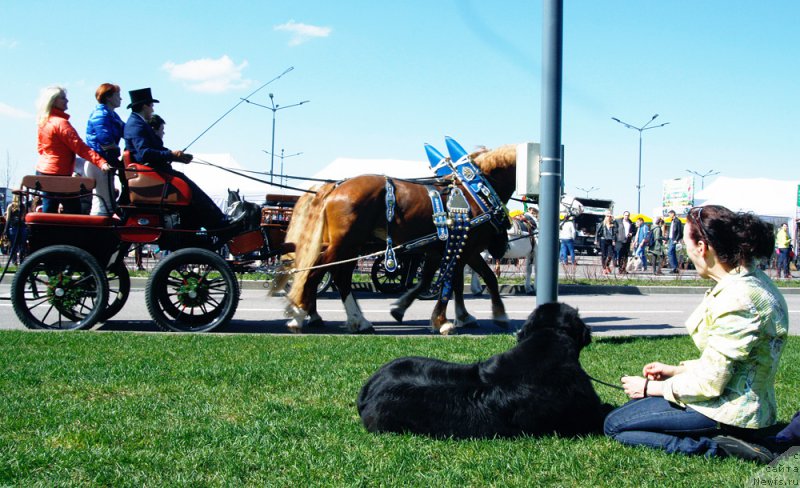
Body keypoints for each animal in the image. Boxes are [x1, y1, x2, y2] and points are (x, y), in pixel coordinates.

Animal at [276, 145, 520, 334]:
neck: (476, 192)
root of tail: (336, 187)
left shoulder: (452, 249)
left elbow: (447, 281)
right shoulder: (465, 247)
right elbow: (460, 282)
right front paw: (447, 321)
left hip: (350, 245)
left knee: (338, 275)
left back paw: (355, 320)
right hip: (345, 243)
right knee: (318, 271)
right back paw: (300, 315)